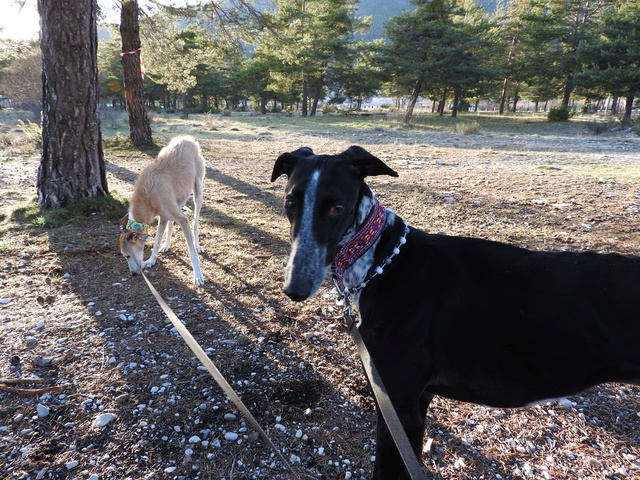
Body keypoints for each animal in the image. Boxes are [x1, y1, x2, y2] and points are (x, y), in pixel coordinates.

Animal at [121, 135, 206, 284]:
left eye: (127, 256)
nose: (133, 274)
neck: (148, 194)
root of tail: (187, 138)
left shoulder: (183, 219)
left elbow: (192, 253)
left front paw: (198, 276)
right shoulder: (162, 216)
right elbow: (156, 242)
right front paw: (151, 260)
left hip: (198, 193)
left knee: (195, 222)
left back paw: (197, 244)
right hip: (177, 202)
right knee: (171, 224)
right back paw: (166, 245)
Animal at [272, 146, 640, 480]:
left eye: (336, 208)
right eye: (291, 203)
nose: (295, 288)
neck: (381, 257)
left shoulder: (399, 406)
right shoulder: (418, 402)